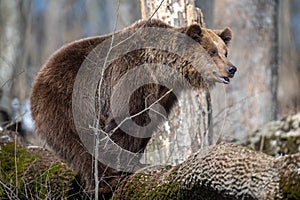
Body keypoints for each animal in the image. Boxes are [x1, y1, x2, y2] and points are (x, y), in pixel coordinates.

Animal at [30, 18, 237, 198]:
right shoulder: (132, 78)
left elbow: (145, 126)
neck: (162, 69)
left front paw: (137, 162)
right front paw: (123, 168)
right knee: (81, 141)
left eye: (225, 51)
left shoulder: (163, 95)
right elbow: (127, 121)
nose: (231, 69)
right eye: (212, 52)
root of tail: (40, 77)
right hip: (72, 101)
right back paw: (105, 183)